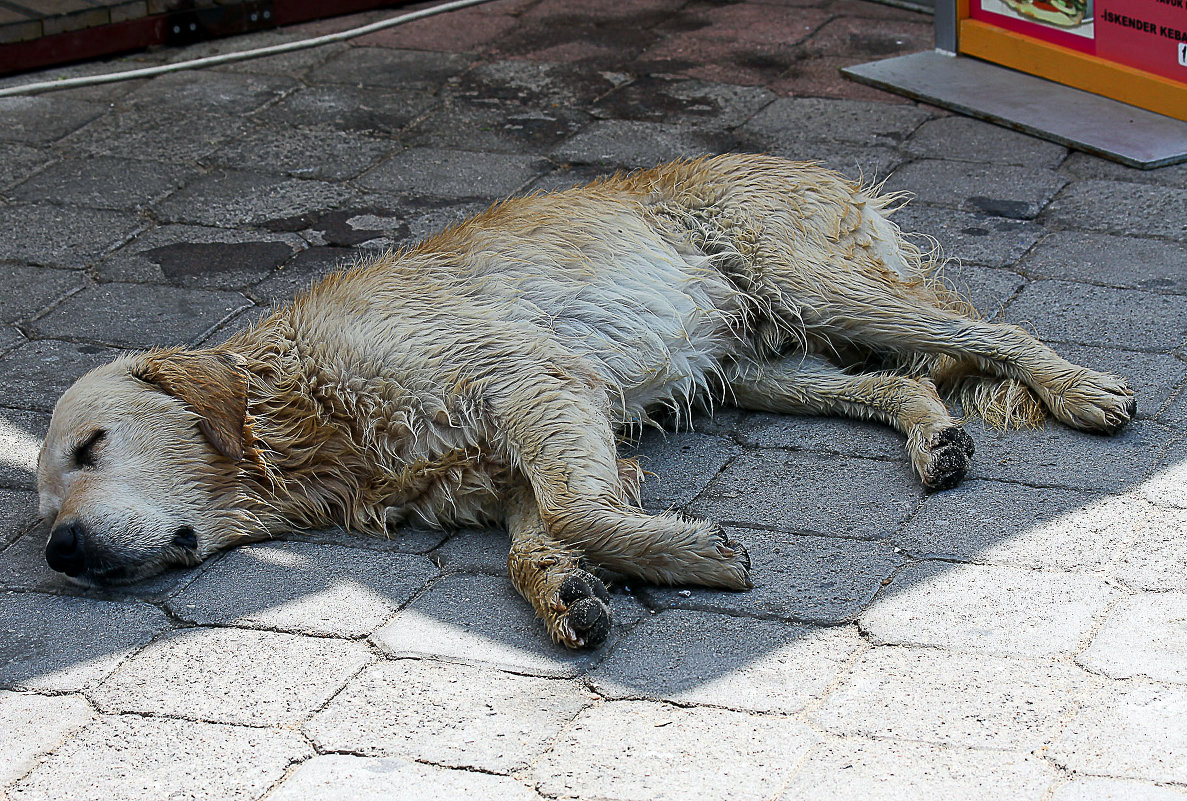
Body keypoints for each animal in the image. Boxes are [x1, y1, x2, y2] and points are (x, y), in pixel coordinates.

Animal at [34, 153, 1130, 650]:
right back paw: (934, 440)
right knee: (897, 378)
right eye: (41, 505)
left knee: (990, 333)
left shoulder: (536, 381)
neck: (300, 410)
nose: (60, 553)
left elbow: (575, 508)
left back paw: (1082, 387)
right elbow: (537, 538)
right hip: (758, 360)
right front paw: (566, 590)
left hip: (818, 283)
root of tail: (822, 172)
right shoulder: (504, 459)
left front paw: (688, 554)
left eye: (93, 446)